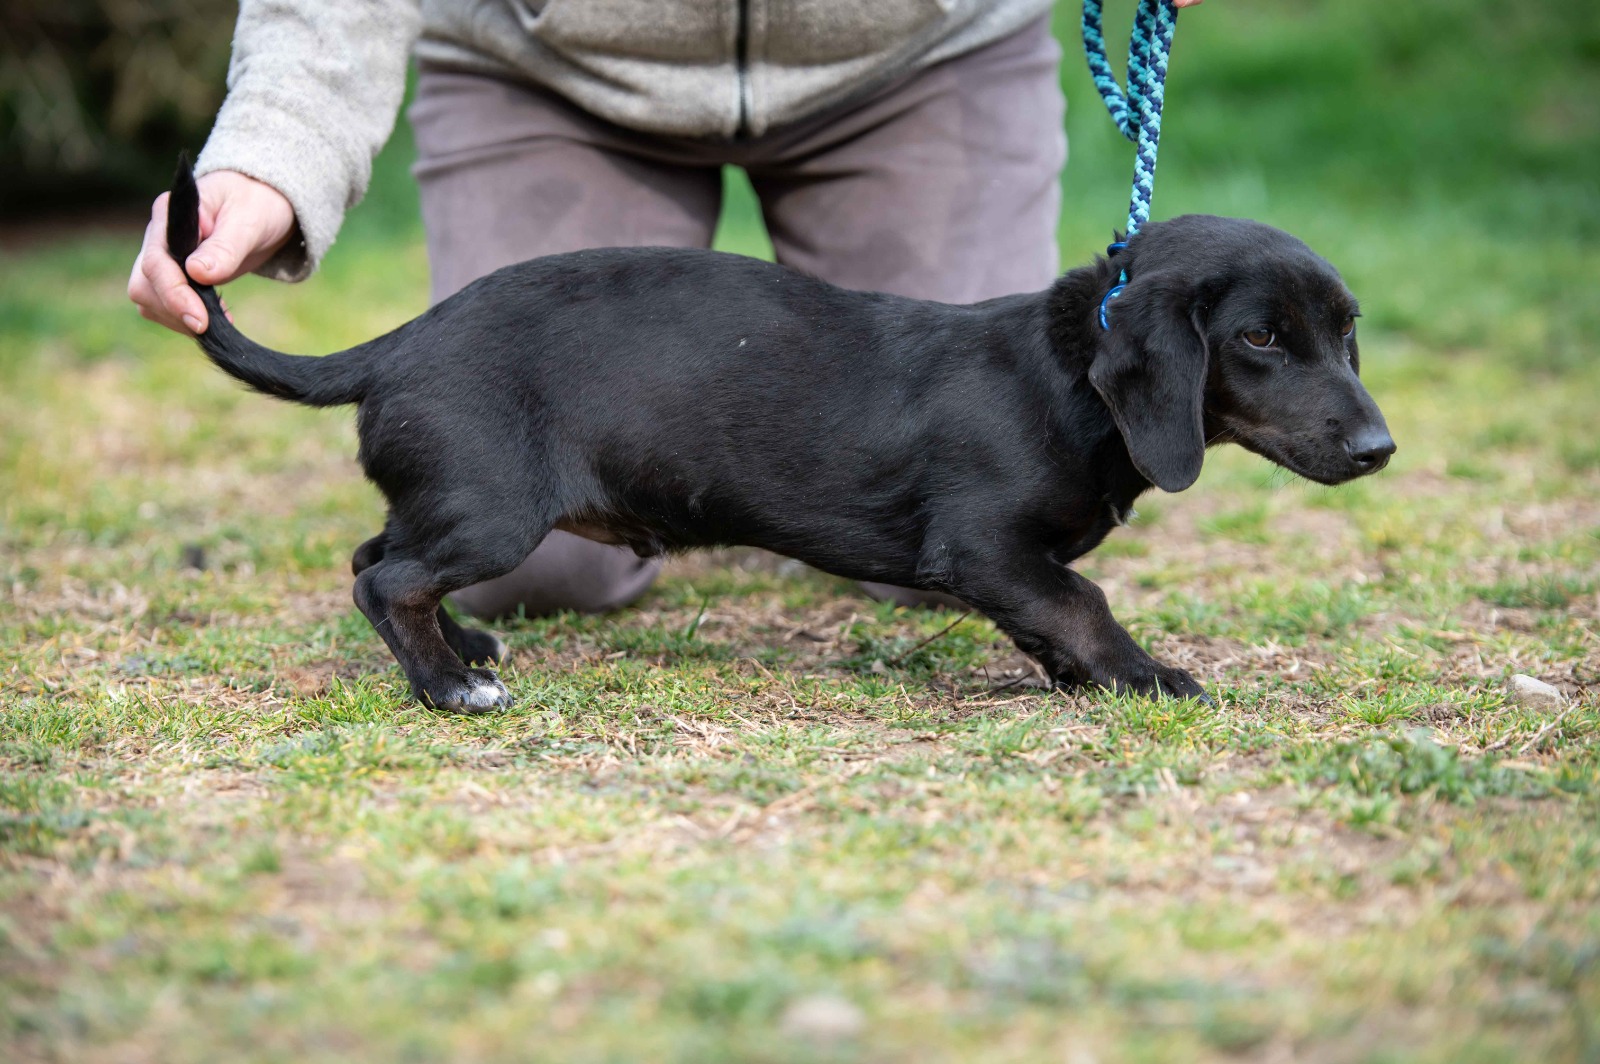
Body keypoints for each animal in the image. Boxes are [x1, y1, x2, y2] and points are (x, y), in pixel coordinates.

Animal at [165, 157, 1393, 711]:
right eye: (1262, 338)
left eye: (1346, 332)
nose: (1381, 452)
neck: (1066, 376)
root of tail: (398, 342)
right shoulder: (984, 545)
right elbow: (1081, 598)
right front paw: (1144, 674)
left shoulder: (1012, 565)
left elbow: (1056, 611)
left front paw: (1080, 676)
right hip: (492, 510)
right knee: (386, 578)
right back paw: (448, 686)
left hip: (451, 500)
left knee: (376, 557)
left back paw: (464, 649)